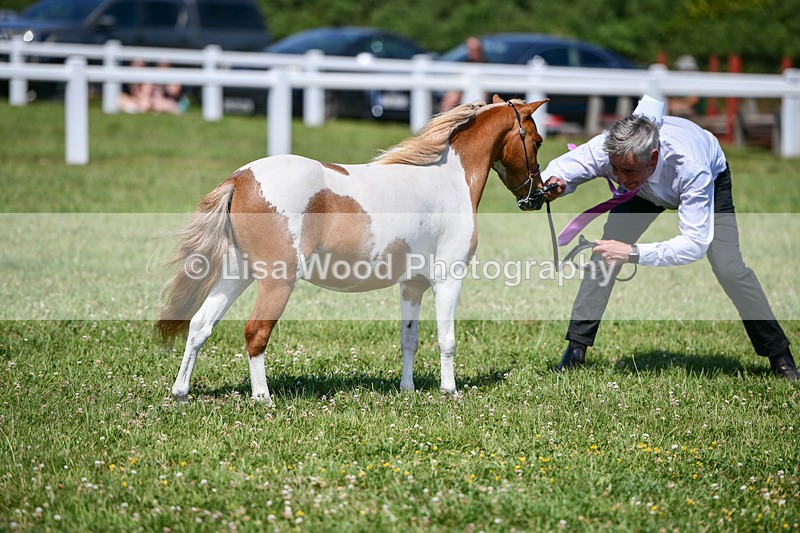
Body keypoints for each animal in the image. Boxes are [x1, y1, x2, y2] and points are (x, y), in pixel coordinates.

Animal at [156, 95, 548, 405]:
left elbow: (409, 339)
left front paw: (407, 389)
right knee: (256, 333)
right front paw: (449, 391)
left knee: (200, 326)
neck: (447, 180)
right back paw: (263, 398)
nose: (536, 196)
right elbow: (446, 339)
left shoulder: (413, 286)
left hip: (237, 274)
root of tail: (241, 178)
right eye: (538, 140)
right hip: (277, 281)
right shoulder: (448, 280)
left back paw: (180, 394)